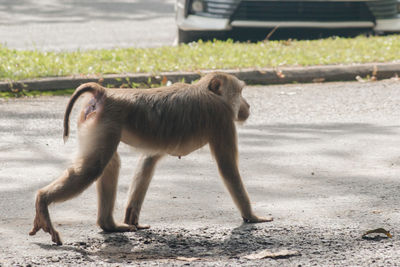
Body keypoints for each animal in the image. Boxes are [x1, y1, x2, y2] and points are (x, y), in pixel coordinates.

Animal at [28, 72, 272, 246]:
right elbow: (228, 168)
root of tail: (105, 93)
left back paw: (109, 225)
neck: (208, 92)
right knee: (93, 168)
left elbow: (149, 160)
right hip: (105, 124)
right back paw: (43, 200)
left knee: (109, 163)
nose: (248, 106)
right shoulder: (221, 118)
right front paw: (252, 217)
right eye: (240, 93)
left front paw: (132, 217)